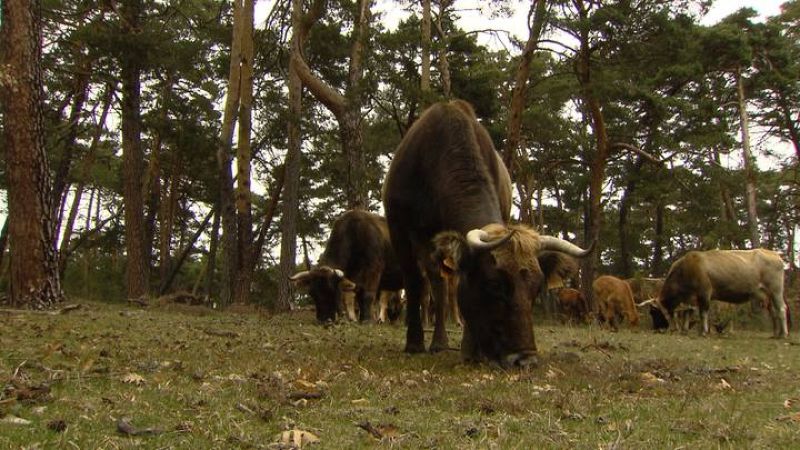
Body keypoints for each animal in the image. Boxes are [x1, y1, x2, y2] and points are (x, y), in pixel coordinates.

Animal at [382, 99, 592, 367]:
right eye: (494, 284)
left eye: (537, 288)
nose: (525, 359)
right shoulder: (399, 228)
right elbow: (414, 282)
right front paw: (414, 343)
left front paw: (471, 350)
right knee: (435, 282)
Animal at [655, 249, 788, 338]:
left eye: (661, 312)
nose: (670, 329)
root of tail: (774, 254)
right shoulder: (692, 298)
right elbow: (688, 312)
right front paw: (685, 330)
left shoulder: (705, 292)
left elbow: (703, 313)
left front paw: (704, 332)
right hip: (768, 295)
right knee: (773, 311)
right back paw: (776, 333)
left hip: (776, 290)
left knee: (781, 309)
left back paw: (783, 334)